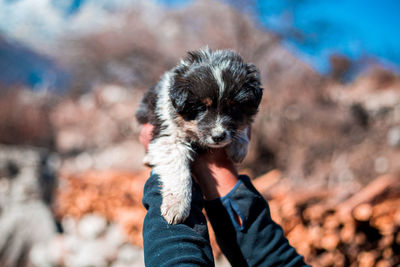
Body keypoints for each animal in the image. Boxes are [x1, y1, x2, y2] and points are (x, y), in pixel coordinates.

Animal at [136, 47, 264, 224]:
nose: (218, 136)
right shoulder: (169, 136)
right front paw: (177, 206)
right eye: (201, 107)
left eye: (233, 107)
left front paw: (239, 148)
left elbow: (243, 126)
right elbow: (179, 173)